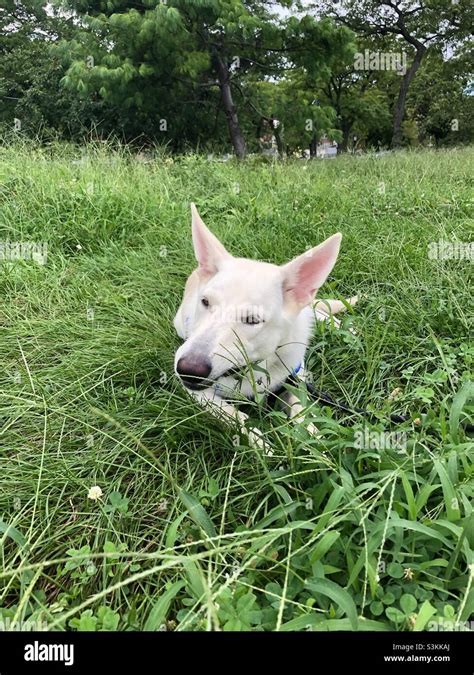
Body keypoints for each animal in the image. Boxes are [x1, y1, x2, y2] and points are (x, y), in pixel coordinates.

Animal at [174, 205, 356, 448]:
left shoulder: (294, 377)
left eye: (252, 320)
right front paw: (265, 447)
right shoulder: (200, 395)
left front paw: (316, 446)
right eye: (205, 302)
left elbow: (302, 414)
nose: (188, 370)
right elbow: (238, 417)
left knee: (317, 310)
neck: (252, 367)